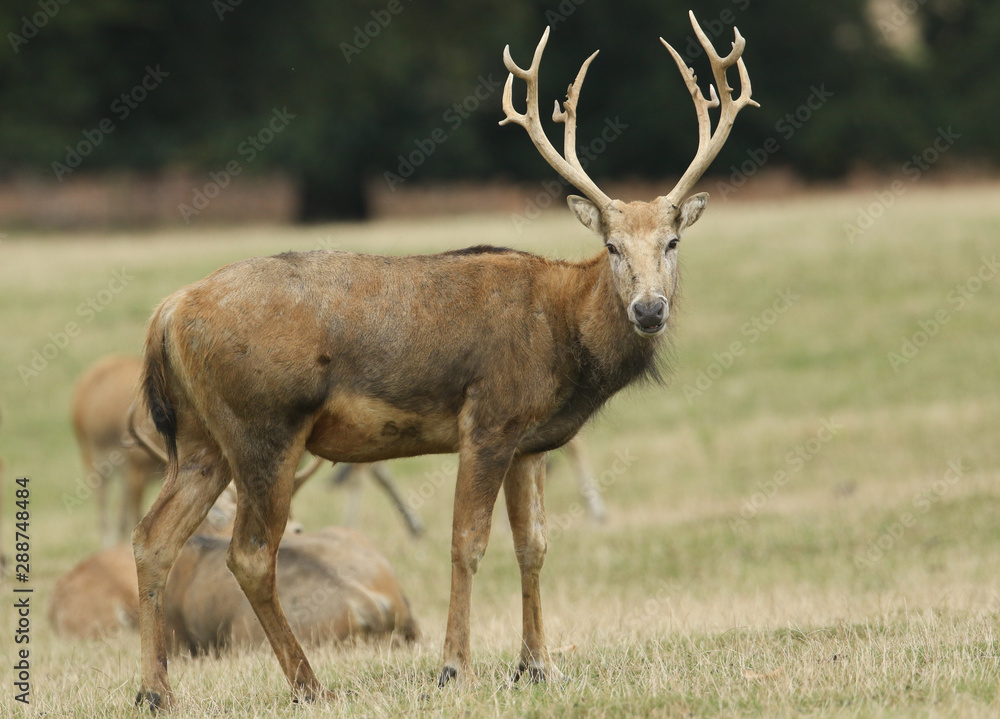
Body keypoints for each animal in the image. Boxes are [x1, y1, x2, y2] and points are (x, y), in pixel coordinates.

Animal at [132, 12, 756, 709]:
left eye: (672, 242)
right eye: (614, 246)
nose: (649, 309)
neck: (563, 335)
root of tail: (168, 311)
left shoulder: (530, 442)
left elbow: (534, 544)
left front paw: (537, 665)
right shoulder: (488, 418)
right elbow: (467, 542)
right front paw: (455, 667)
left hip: (201, 438)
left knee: (155, 537)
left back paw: (155, 691)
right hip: (264, 425)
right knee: (249, 553)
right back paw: (308, 683)